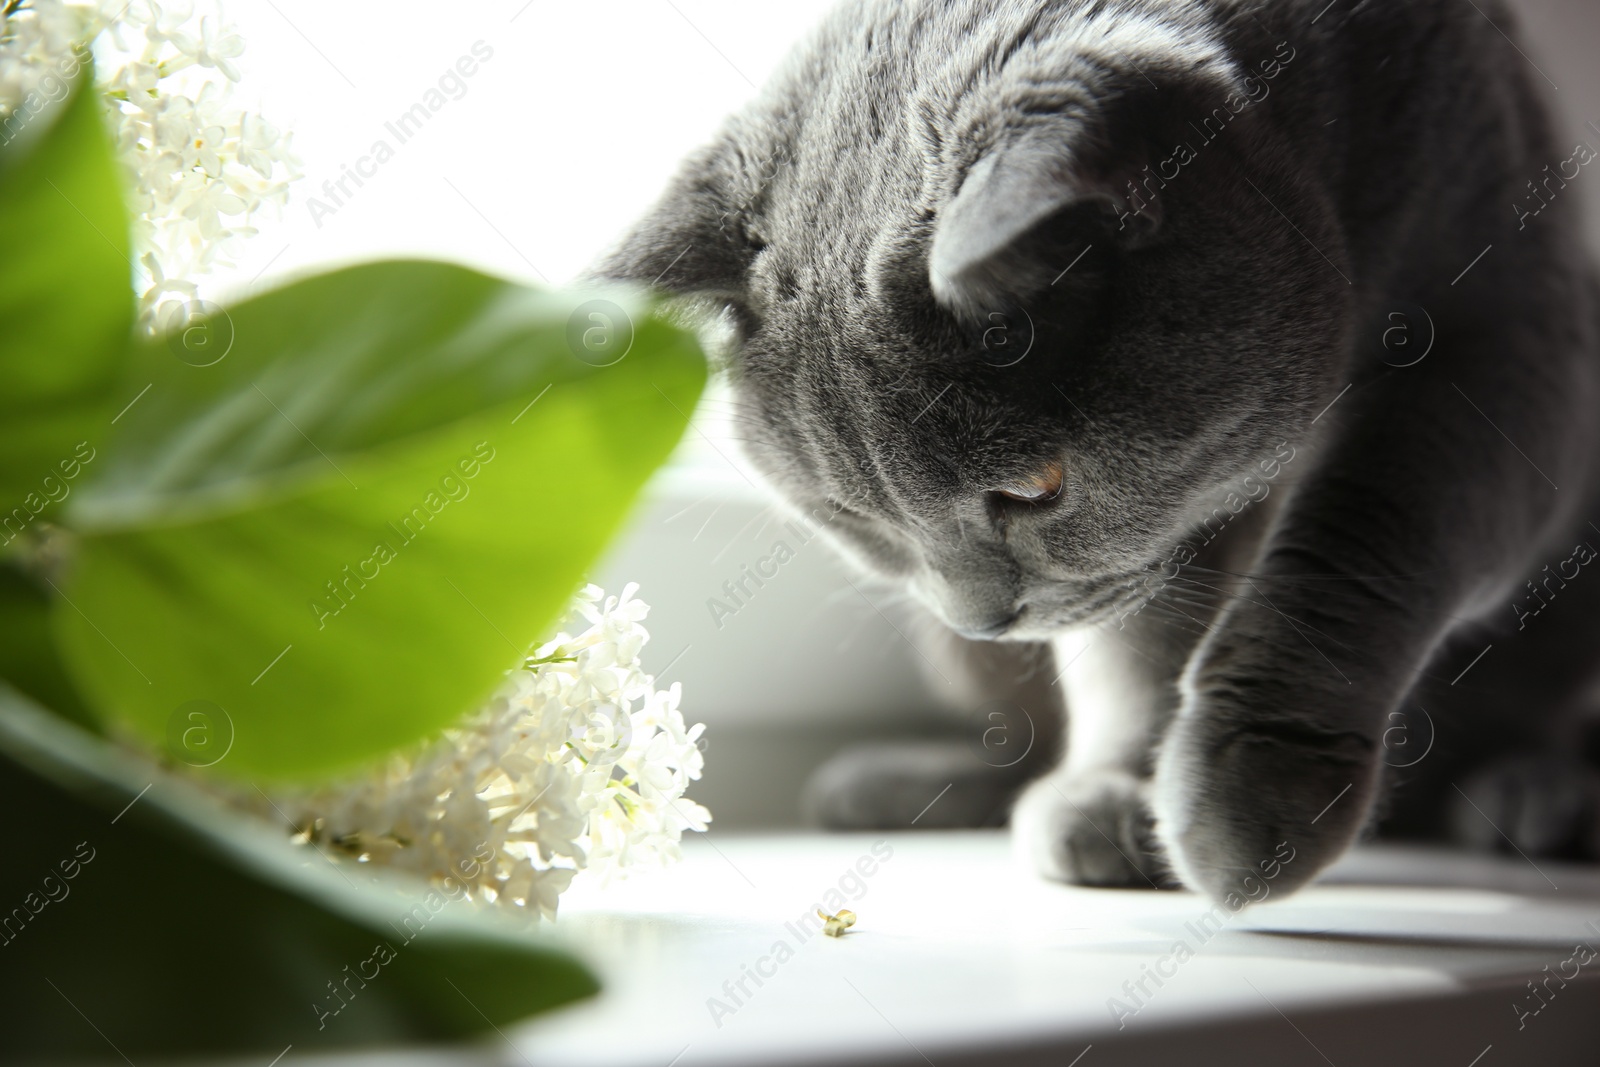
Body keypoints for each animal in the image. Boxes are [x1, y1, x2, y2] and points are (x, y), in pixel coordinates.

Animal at [598, 0, 1600, 902]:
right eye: (851, 514)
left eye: (1036, 488)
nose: (982, 619)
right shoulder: (1153, 541)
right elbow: (1134, 644)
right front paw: (1125, 790)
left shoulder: (1510, 340)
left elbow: (1362, 538)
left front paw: (1256, 791)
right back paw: (902, 783)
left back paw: (1540, 798)